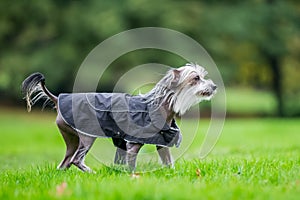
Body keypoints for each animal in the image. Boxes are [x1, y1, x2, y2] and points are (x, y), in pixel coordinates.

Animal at [22, 63, 217, 172]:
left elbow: (169, 163)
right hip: (87, 137)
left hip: (72, 139)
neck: (157, 105)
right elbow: (131, 165)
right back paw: (92, 173)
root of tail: (58, 98)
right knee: (76, 160)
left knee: (65, 163)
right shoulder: (132, 146)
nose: (214, 86)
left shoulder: (162, 143)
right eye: (196, 78)